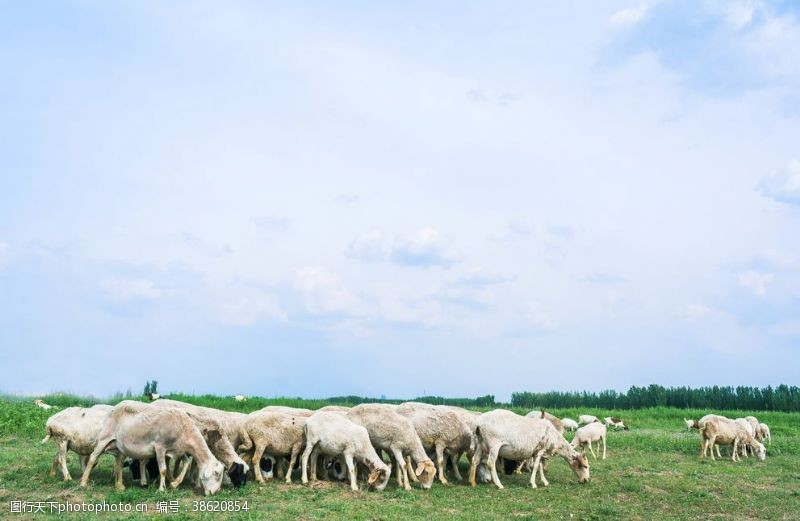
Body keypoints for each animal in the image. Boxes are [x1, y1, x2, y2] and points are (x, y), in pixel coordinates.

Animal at [79, 400, 225, 494]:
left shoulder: (178, 449)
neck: (183, 428)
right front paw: (161, 489)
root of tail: (114, 407)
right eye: (217, 474)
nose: (215, 492)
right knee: (93, 458)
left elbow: (187, 463)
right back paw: (83, 483)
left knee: (119, 463)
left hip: (120, 446)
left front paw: (174, 483)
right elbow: (163, 469)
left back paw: (119, 486)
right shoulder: (160, 447)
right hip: (104, 438)